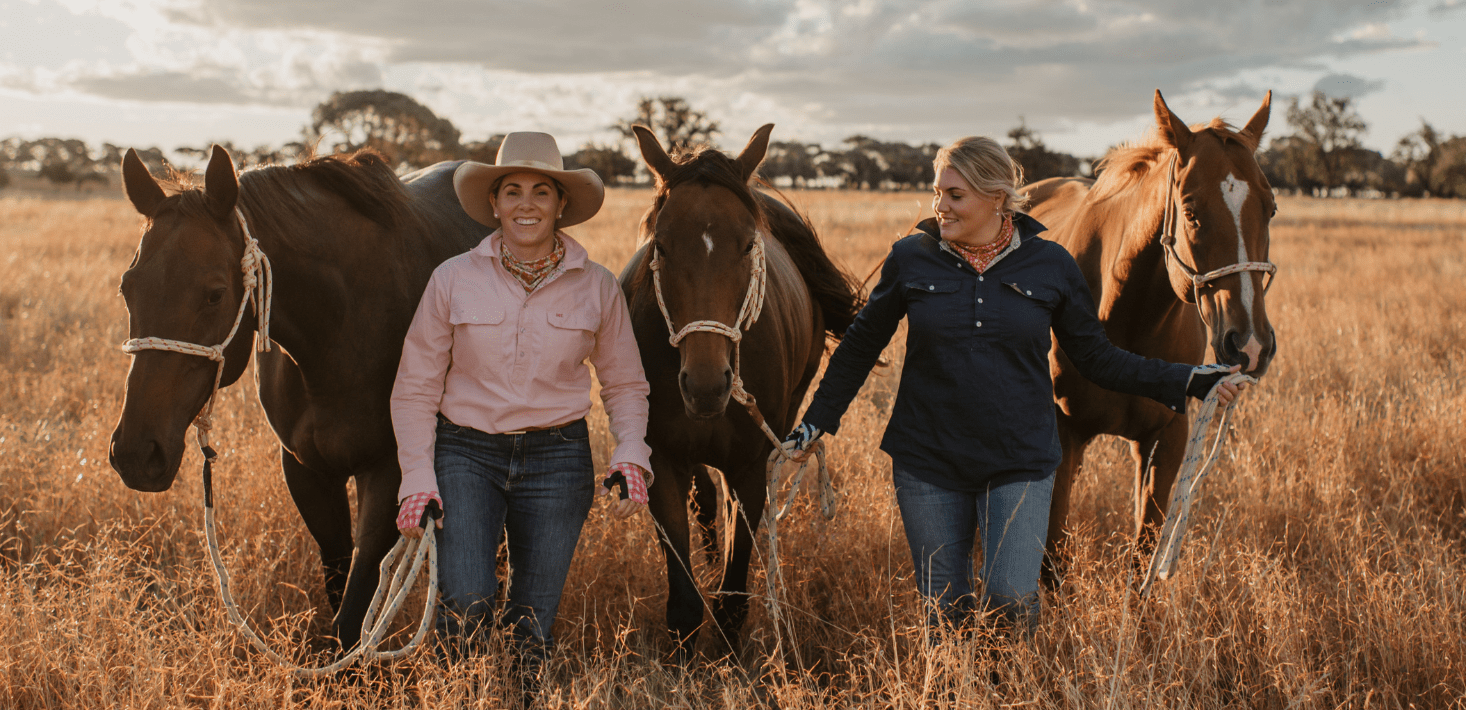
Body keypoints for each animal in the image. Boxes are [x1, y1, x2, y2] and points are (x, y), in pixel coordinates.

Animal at [112, 146, 486, 651]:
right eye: (126, 287)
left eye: (215, 295)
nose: (135, 453)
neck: (343, 328)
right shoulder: (305, 469)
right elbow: (338, 579)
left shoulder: (388, 470)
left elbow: (355, 606)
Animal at [615, 124, 862, 657]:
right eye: (660, 245)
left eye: (749, 245)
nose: (707, 384)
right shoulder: (662, 462)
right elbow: (685, 600)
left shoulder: (751, 467)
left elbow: (732, 593)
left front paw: (729, 660)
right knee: (706, 497)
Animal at [1026, 90, 1278, 577]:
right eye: (1191, 211)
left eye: (1271, 208)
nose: (1250, 345)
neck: (1126, 323)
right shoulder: (1062, 435)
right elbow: (1052, 560)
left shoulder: (1168, 438)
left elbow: (1144, 554)